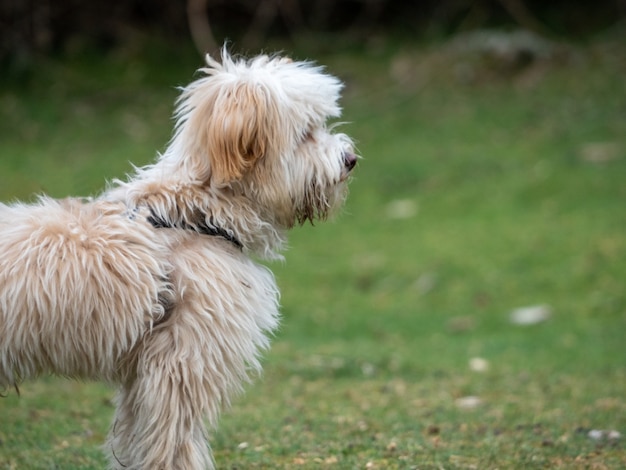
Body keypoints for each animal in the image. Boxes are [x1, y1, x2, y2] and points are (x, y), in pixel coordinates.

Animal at [0, 49, 356, 468]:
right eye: (306, 133)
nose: (351, 158)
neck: (200, 216)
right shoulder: (181, 365)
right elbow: (173, 443)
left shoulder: (146, 374)